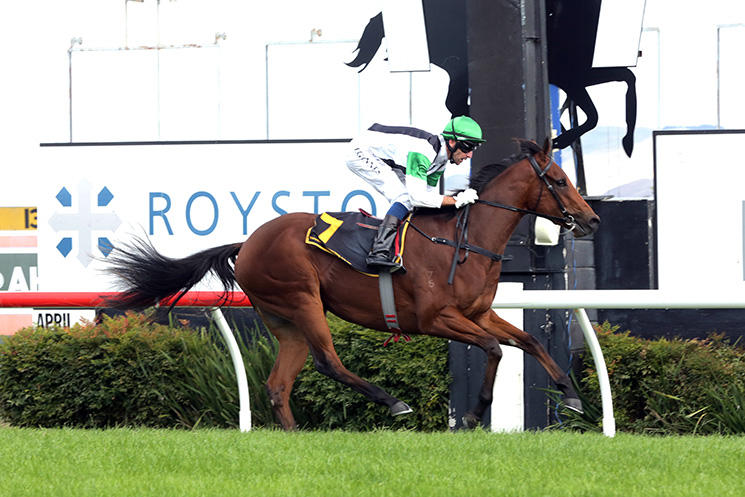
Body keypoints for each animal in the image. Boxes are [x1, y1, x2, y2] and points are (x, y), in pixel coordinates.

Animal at [103, 138, 600, 428]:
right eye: (559, 180)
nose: (592, 220)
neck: (465, 240)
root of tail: (248, 241)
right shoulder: (436, 318)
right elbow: (495, 350)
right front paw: (475, 413)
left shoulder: (478, 313)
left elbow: (527, 343)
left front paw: (573, 399)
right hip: (303, 299)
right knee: (328, 363)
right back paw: (393, 402)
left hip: (285, 321)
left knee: (278, 385)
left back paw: (294, 437)